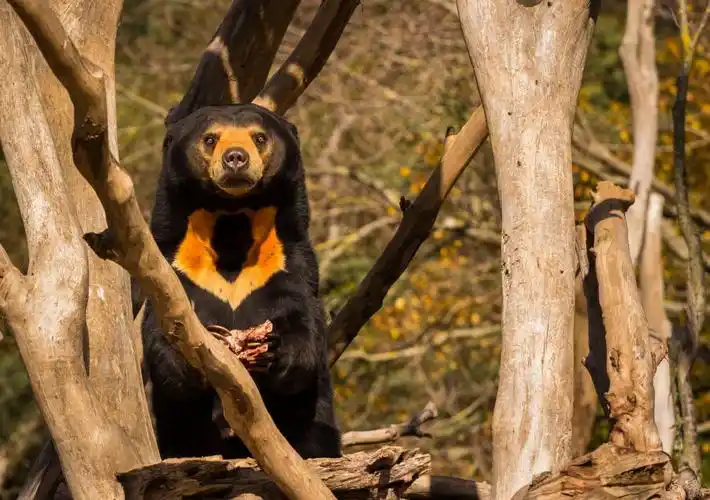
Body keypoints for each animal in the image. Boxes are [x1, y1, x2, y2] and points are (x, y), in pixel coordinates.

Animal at [136, 103, 341, 460]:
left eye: (259, 137)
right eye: (210, 138)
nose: (235, 158)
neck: (231, 220)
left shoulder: (288, 258)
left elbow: (302, 312)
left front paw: (278, 352)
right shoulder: (173, 266)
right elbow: (161, 326)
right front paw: (187, 365)